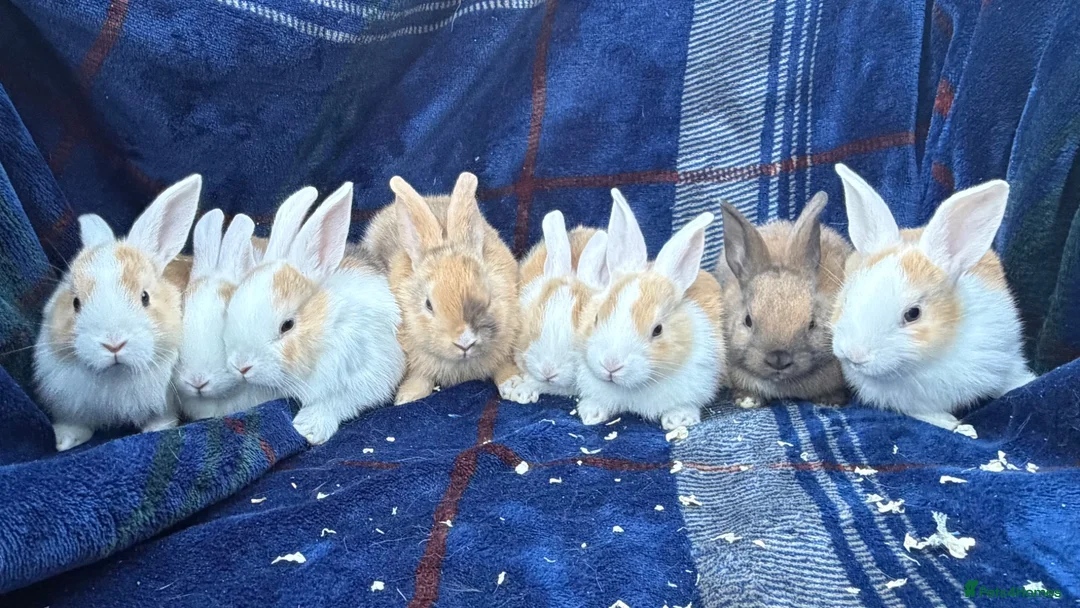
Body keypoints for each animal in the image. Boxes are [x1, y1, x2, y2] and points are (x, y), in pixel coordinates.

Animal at [33, 174, 201, 451]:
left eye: (145, 297)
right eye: (75, 303)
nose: (113, 344)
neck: (115, 375)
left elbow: (161, 417)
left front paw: (156, 429)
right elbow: (74, 423)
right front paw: (64, 440)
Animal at [362, 172, 521, 404]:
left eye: (489, 298)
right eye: (428, 305)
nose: (465, 342)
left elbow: (504, 367)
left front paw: (519, 390)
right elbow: (419, 377)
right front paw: (407, 397)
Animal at [830, 163, 1037, 430]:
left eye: (913, 314)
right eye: (846, 298)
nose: (855, 355)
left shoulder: (1004, 357)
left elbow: (1014, 379)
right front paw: (959, 427)